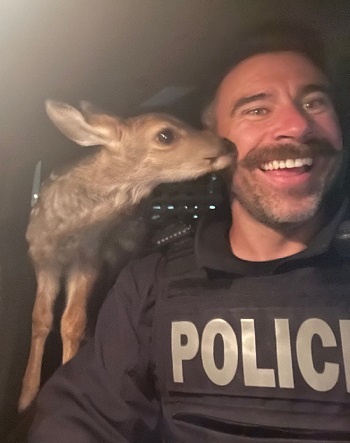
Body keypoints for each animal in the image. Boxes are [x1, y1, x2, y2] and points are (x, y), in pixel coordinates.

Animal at [17, 101, 234, 412]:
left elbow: (71, 322)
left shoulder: (90, 257)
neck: (69, 230)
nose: (226, 144)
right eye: (165, 135)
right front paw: (25, 397)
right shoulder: (42, 259)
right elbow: (40, 318)